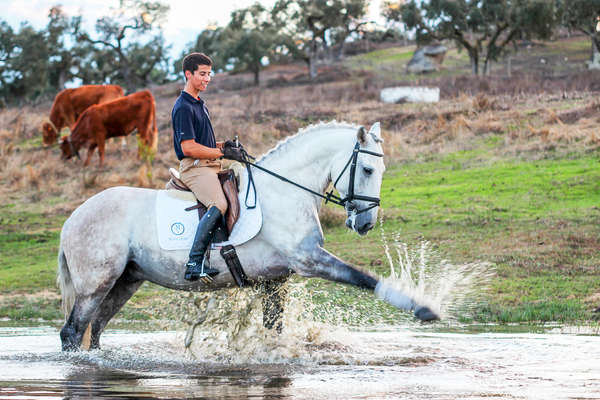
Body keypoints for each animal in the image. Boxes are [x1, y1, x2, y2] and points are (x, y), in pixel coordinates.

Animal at [58, 121, 438, 350]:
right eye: (369, 169)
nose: (366, 223)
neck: (285, 191)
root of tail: (72, 219)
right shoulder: (309, 260)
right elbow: (362, 277)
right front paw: (422, 308)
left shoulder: (276, 278)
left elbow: (273, 328)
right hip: (96, 284)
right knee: (73, 331)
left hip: (126, 280)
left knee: (95, 329)